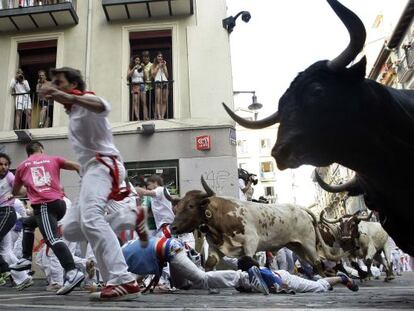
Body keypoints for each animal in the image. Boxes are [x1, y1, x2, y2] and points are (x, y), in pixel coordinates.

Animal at [168, 177, 346, 274]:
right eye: (177, 206)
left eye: (191, 206)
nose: (173, 227)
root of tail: (299, 208)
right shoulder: (215, 248)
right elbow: (209, 264)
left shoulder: (250, 243)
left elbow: (249, 261)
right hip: (297, 247)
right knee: (314, 263)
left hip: (308, 243)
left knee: (318, 262)